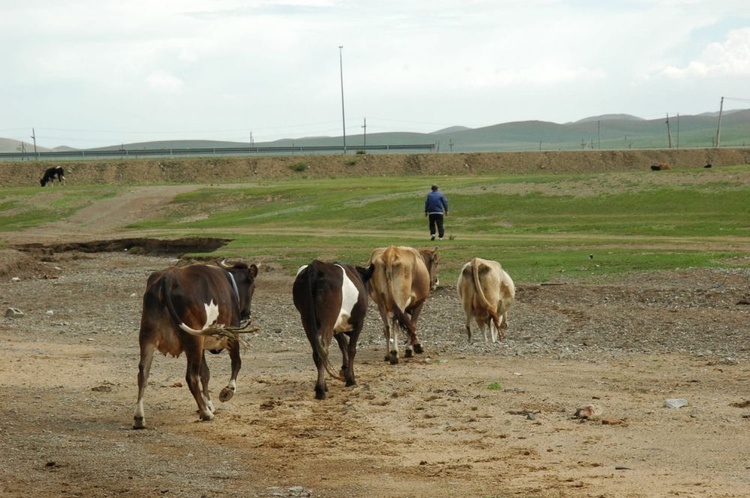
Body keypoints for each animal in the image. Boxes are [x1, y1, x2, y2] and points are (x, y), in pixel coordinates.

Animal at [135, 260, 262, 428]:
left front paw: (209, 403)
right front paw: (228, 391)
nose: (246, 314)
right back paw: (205, 413)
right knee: (191, 377)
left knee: (143, 373)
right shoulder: (231, 335)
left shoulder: (201, 345)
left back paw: (139, 418)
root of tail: (167, 277)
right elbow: (236, 362)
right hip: (193, 339)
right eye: (253, 287)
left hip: (148, 337)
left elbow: (205, 373)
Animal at [294, 260, 376, 400]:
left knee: (318, 351)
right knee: (323, 349)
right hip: (328, 318)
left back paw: (321, 386)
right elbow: (351, 349)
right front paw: (350, 379)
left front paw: (345, 370)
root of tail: (316, 266)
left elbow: (343, 345)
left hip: (306, 319)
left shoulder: (336, 328)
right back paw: (321, 390)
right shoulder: (358, 323)